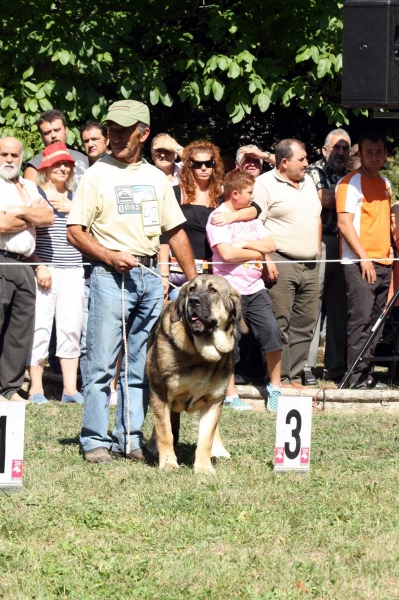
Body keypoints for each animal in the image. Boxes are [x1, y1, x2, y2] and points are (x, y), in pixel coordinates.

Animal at [147, 274, 247, 476]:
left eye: (213, 290)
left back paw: (219, 449)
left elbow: (206, 439)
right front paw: (168, 463)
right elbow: (164, 432)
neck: (203, 352)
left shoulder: (215, 400)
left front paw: (204, 467)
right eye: (191, 289)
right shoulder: (159, 392)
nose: (193, 300)